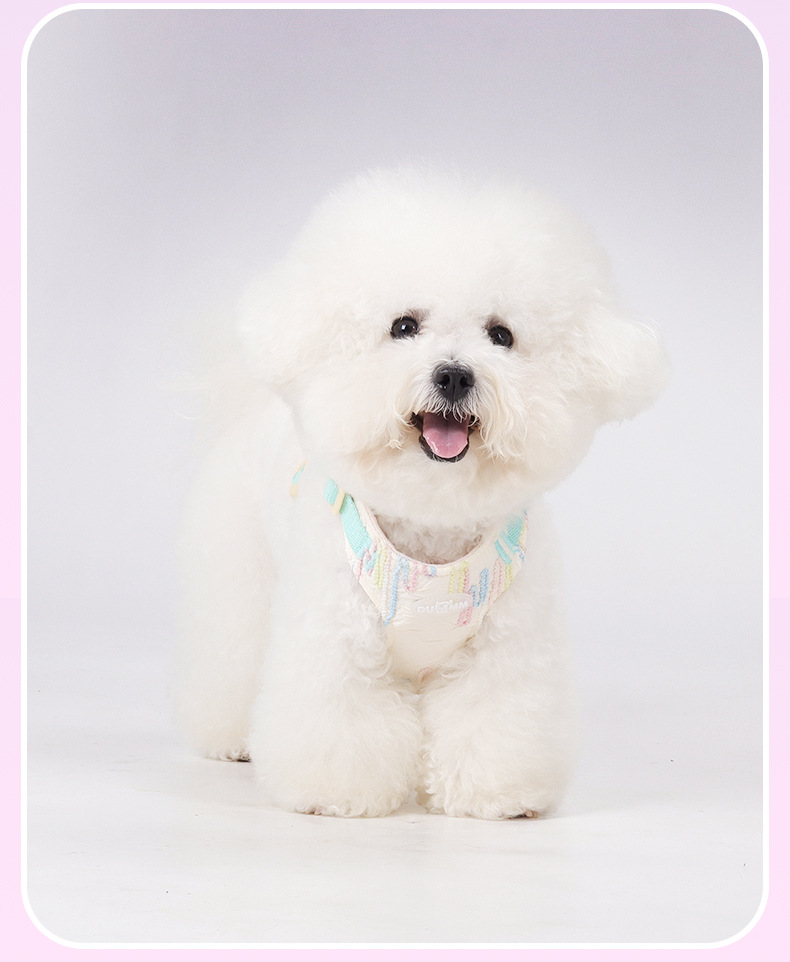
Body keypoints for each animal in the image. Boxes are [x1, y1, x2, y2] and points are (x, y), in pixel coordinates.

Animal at [175, 166, 667, 818]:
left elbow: (494, 715)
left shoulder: (506, 647)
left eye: (501, 335)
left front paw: (497, 795)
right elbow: (339, 718)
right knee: (230, 657)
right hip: (239, 578)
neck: (432, 530)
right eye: (404, 326)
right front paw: (337, 794)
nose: (454, 374)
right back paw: (230, 739)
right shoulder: (336, 640)